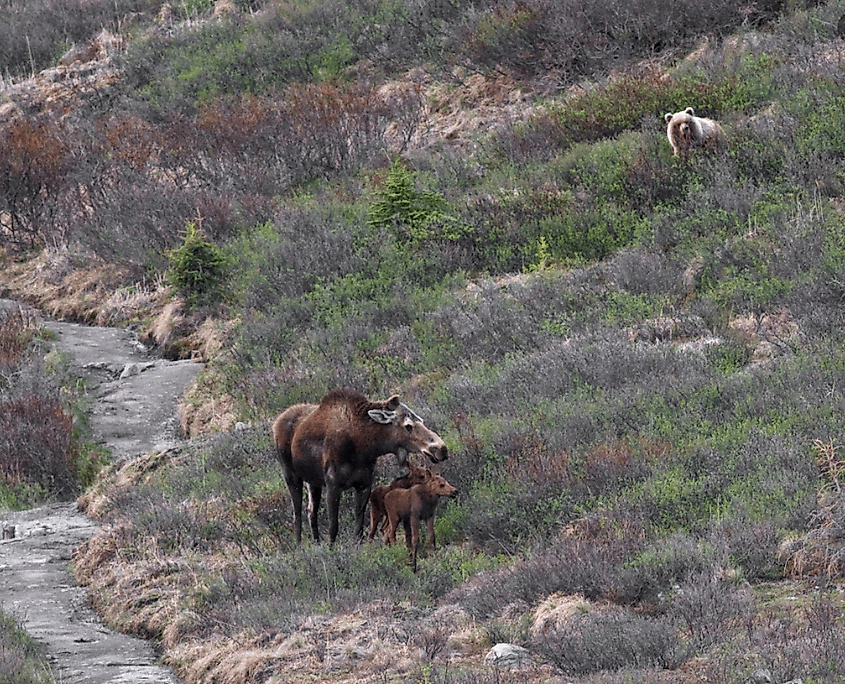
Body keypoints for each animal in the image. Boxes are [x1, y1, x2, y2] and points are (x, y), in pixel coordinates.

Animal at [272, 389, 448, 544]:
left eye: (421, 420)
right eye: (408, 425)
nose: (442, 448)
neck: (364, 447)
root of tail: (276, 422)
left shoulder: (364, 484)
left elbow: (359, 527)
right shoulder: (333, 484)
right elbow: (333, 527)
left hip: (313, 481)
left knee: (311, 512)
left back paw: (316, 542)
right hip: (291, 475)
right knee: (297, 515)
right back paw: (299, 546)